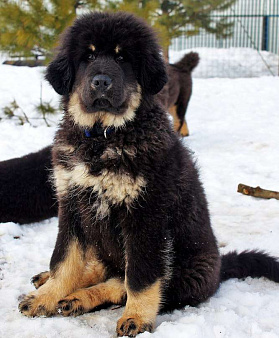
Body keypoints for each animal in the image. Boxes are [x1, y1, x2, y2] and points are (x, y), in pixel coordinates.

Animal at [18, 11, 279, 338]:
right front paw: (47, 296)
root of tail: (220, 268)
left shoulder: (145, 214)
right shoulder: (72, 203)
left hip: (187, 272)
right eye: (88, 56)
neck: (103, 137)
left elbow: (139, 277)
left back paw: (80, 298)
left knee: (126, 281)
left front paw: (137, 317)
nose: (101, 81)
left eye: (123, 58)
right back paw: (55, 283)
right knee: (102, 267)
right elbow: (64, 259)